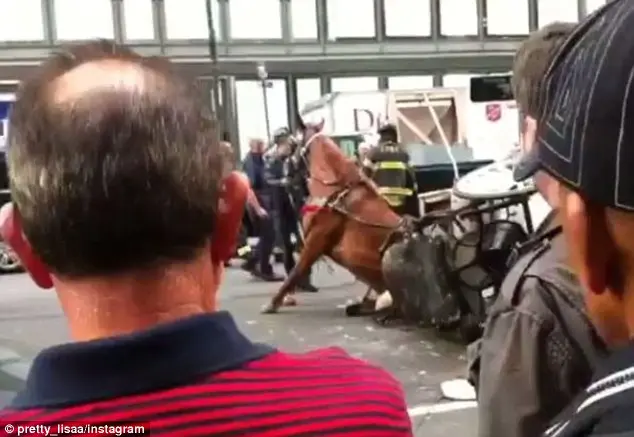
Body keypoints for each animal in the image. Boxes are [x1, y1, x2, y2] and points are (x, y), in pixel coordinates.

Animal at [260, 119, 408, 316]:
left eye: (293, 143)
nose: (284, 172)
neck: (337, 191)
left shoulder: (316, 241)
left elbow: (296, 270)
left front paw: (274, 302)